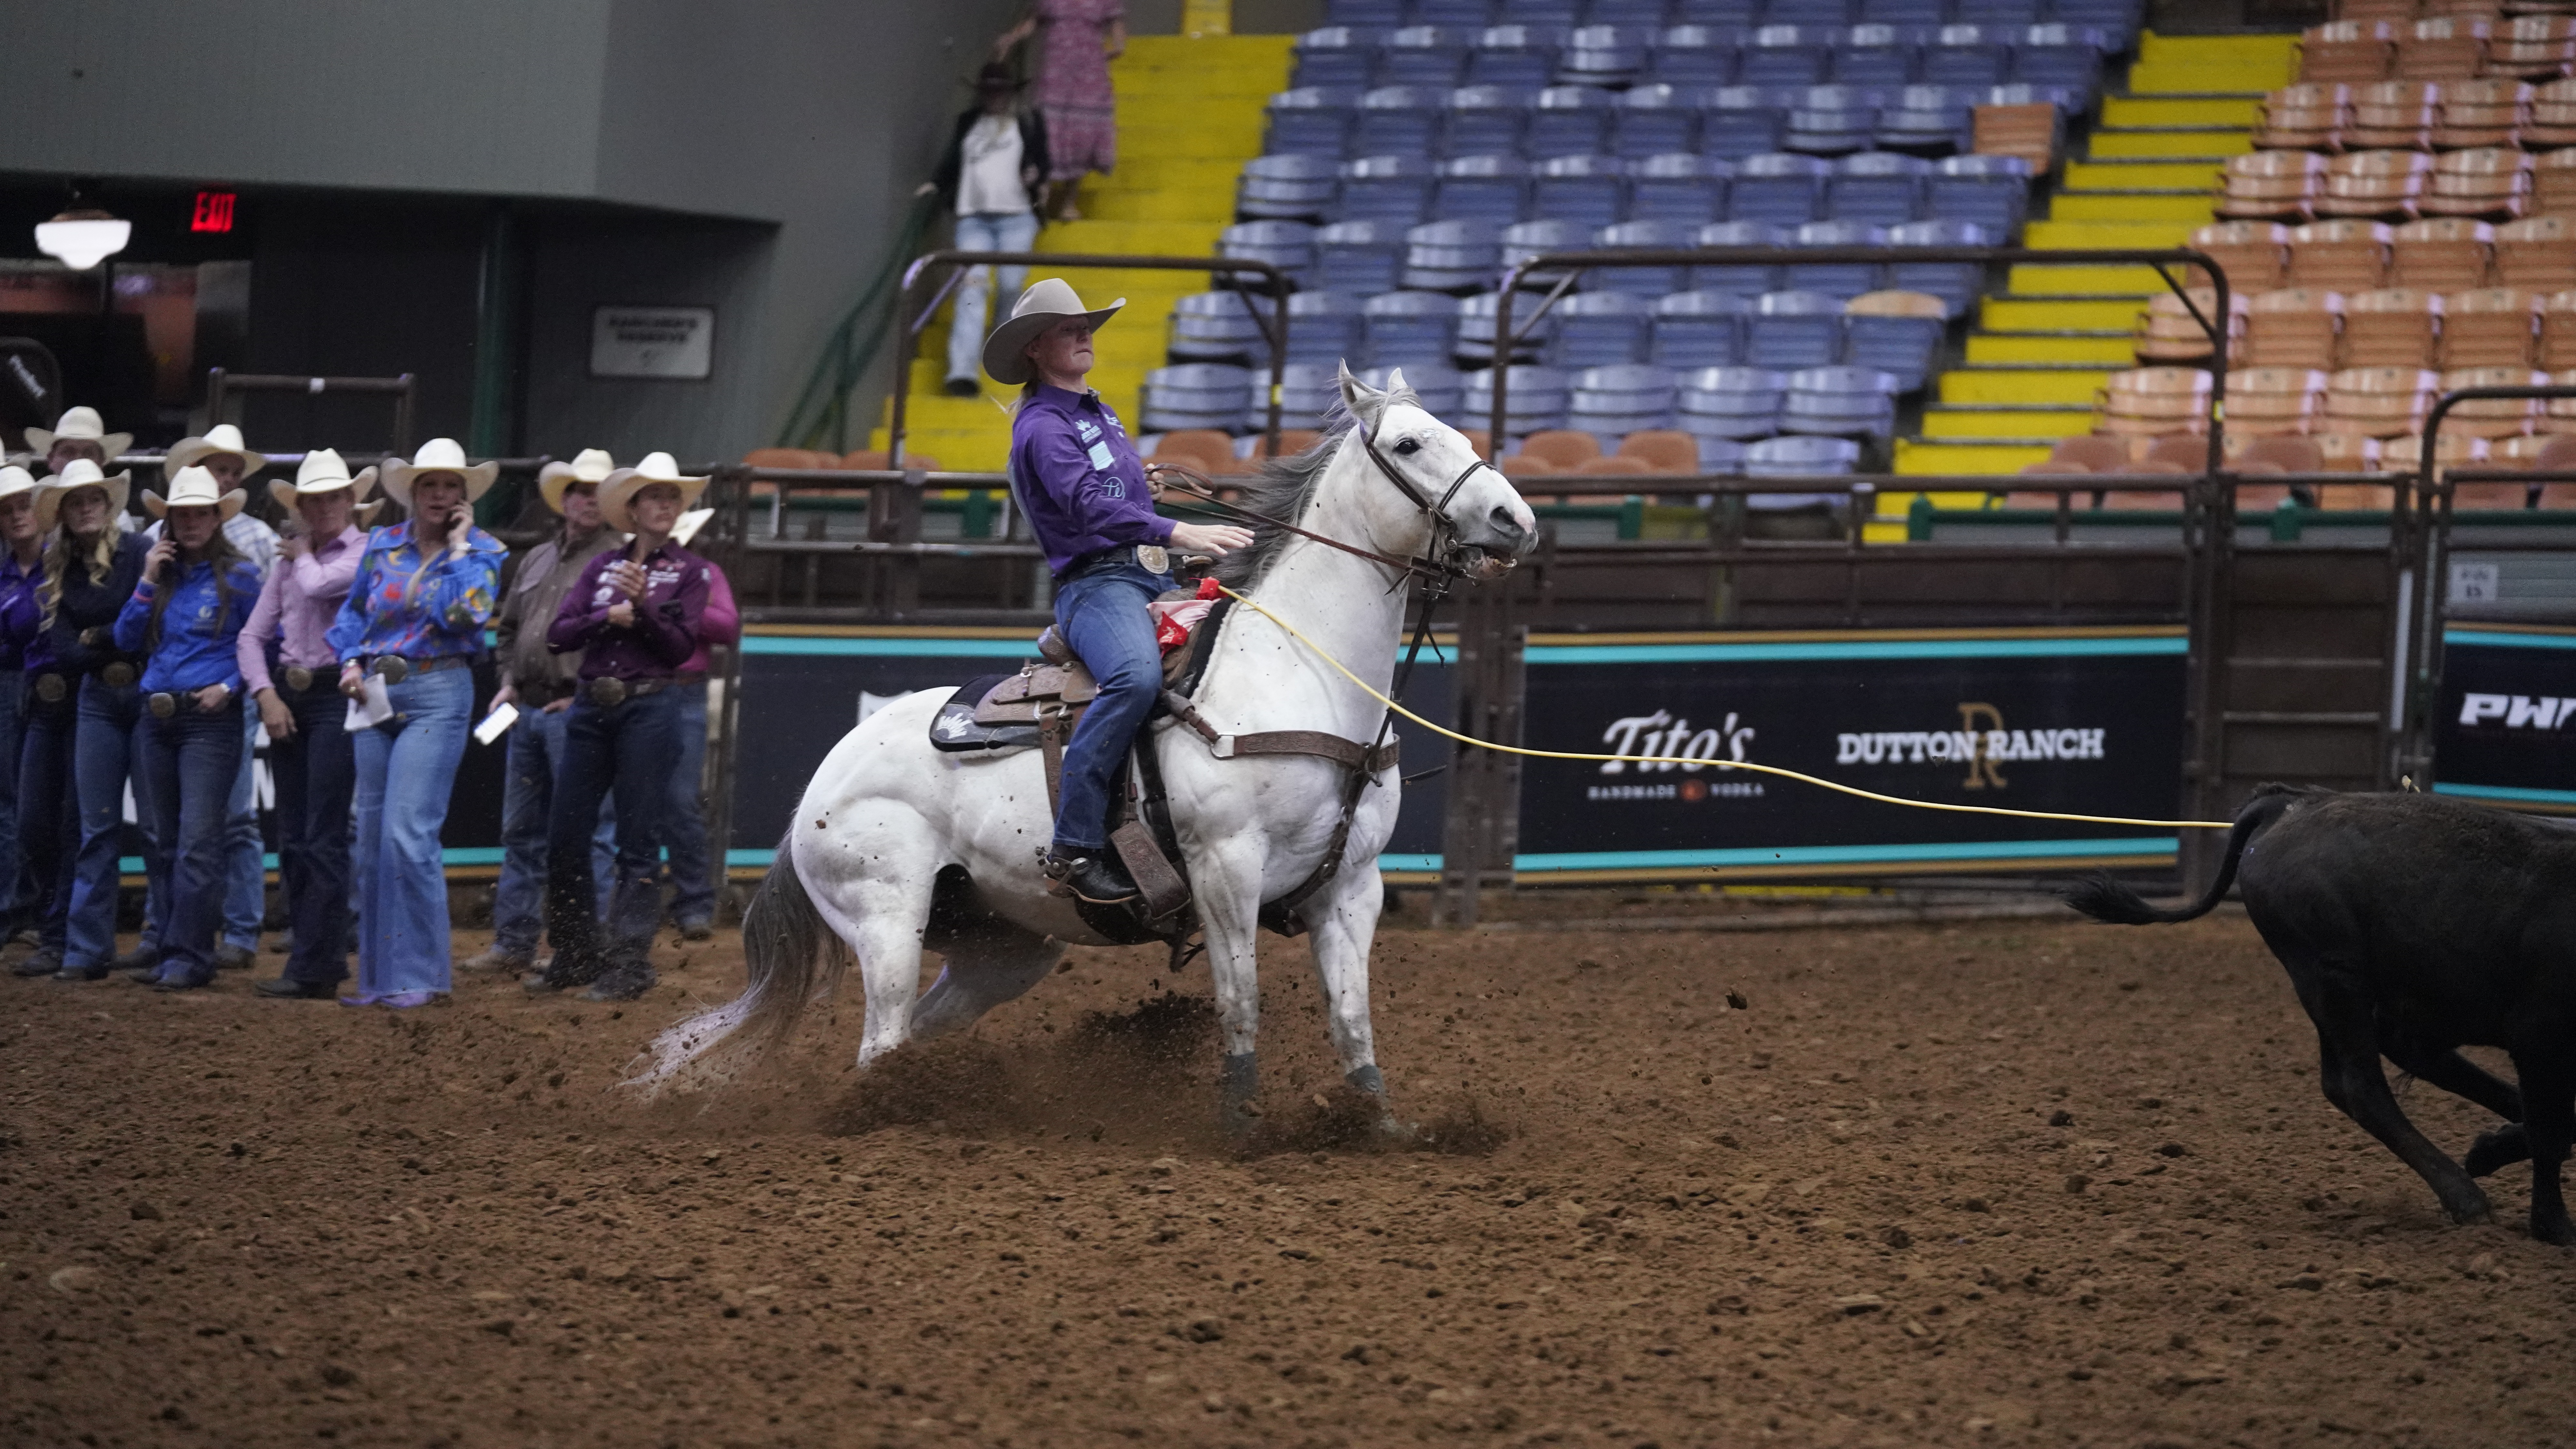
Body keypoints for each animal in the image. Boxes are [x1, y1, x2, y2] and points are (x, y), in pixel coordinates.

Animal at [2064, 784, 2576, 1245]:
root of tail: (2293, 802)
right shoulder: (2539, 1038)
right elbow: (2550, 1131)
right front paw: (2555, 1228)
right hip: (2332, 975)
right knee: (2361, 1087)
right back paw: (2465, 1196)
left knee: (2399, 1062)